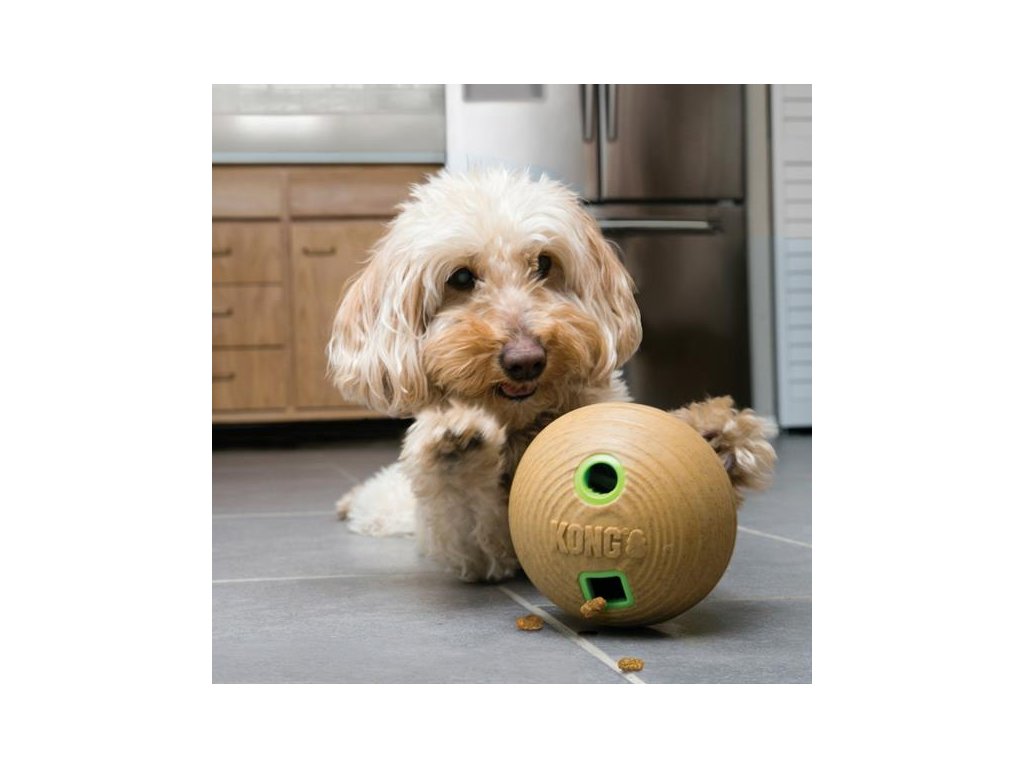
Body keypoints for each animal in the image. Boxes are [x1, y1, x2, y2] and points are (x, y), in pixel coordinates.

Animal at [328, 168, 776, 582]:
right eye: (461, 277)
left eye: (544, 263)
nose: (525, 360)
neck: (524, 422)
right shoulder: (482, 547)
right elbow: (466, 508)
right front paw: (455, 446)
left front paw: (716, 436)